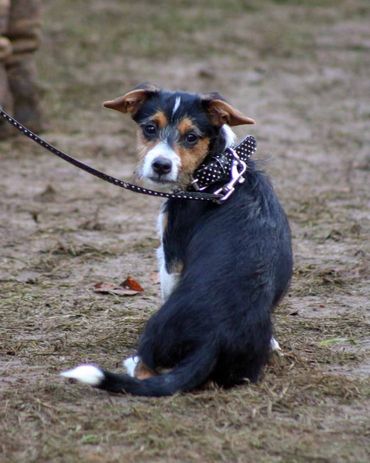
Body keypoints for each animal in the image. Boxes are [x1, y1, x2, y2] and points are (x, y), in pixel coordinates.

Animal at [61, 83, 292, 396]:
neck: (217, 170)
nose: (161, 165)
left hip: (155, 328)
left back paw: (133, 363)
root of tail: (213, 339)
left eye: (191, 137)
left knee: (146, 371)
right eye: (149, 128)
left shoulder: (170, 255)